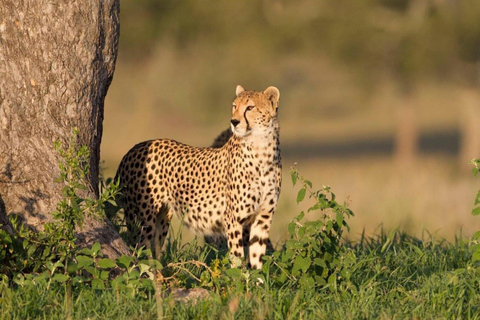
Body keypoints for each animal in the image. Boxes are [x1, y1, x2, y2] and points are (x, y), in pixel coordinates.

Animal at [116, 85, 282, 270]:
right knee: (138, 250)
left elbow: (256, 256)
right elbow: (238, 258)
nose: (234, 121)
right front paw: (239, 276)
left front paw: (256, 277)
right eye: (234, 106)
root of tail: (133, 149)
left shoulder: (263, 217)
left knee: (154, 251)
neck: (262, 148)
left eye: (250, 107)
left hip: (162, 218)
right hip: (142, 219)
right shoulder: (233, 219)